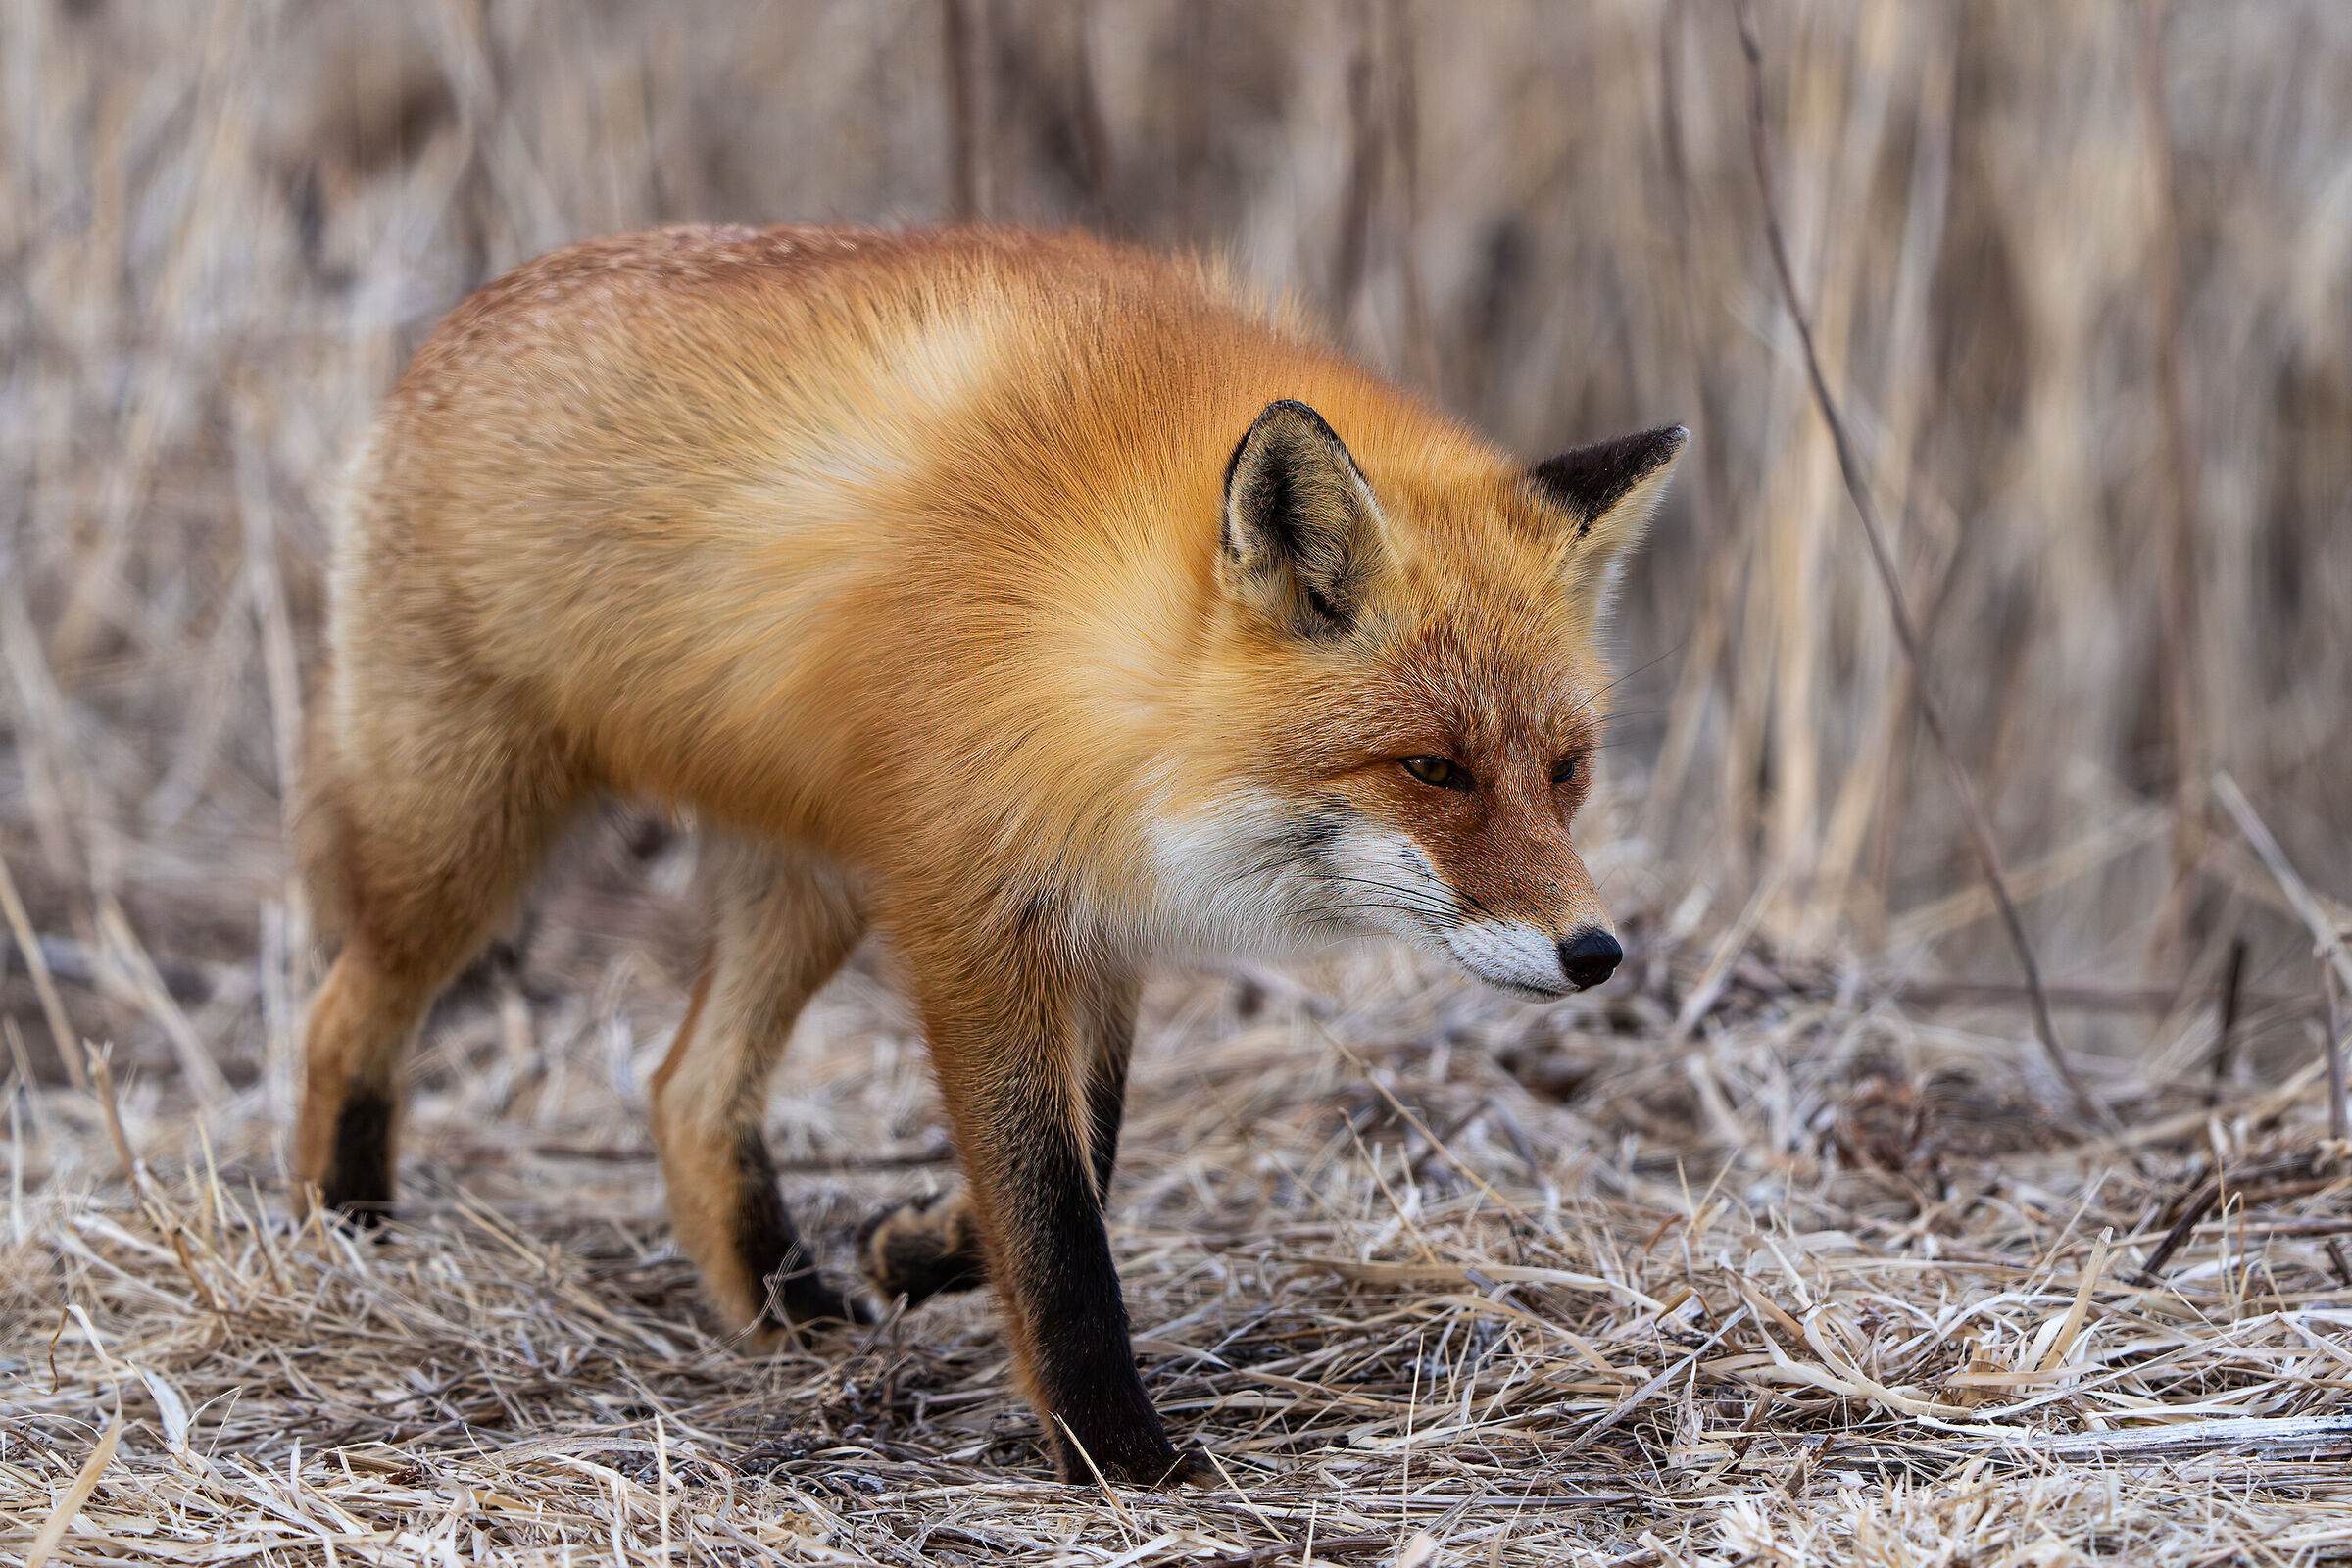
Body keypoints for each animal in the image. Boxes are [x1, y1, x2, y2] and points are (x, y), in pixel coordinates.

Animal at [292, 224, 1683, 1485]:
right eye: (1432, 769)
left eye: (1567, 770)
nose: (1597, 952)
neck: (1087, 633)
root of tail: (450, 331)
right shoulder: (964, 907)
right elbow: (1053, 1210)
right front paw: (1119, 1454)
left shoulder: (1099, 913)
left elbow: (1090, 1146)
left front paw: (926, 1245)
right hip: (463, 835)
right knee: (345, 1012)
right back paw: (343, 1232)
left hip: (803, 889)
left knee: (687, 1090)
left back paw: (790, 1310)